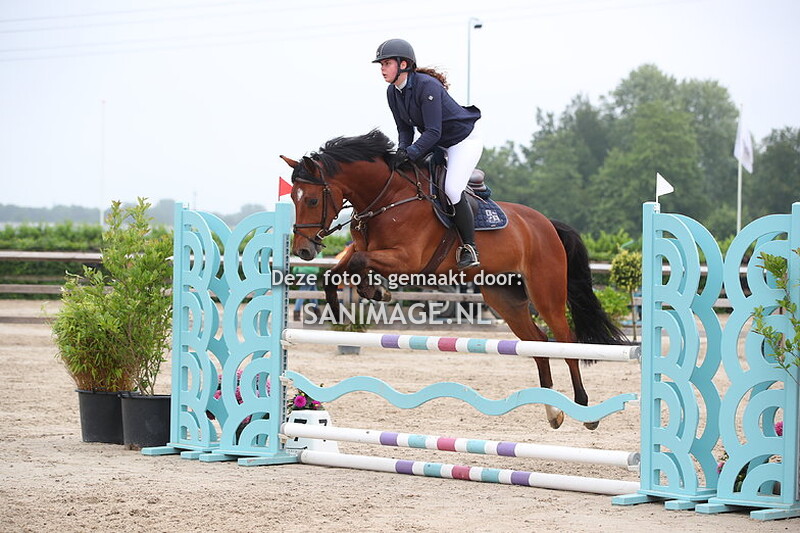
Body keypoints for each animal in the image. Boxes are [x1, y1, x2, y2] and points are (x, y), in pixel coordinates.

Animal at [280, 129, 628, 430]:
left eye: (312, 200)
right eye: (294, 199)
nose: (303, 250)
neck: (387, 197)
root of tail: (548, 225)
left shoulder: (407, 260)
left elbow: (359, 263)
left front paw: (369, 294)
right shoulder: (362, 249)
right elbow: (338, 270)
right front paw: (359, 299)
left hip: (546, 293)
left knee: (566, 341)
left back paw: (585, 410)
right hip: (505, 298)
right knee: (539, 343)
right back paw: (553, 412)